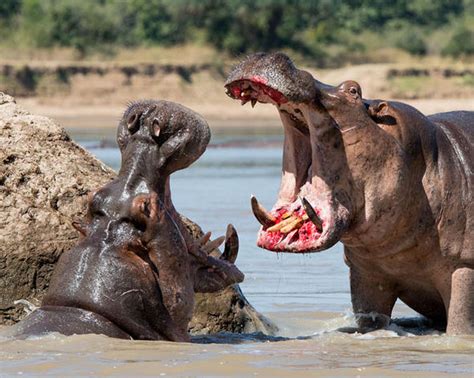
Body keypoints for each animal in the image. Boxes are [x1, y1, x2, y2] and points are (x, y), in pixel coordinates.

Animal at [225, 51, 474, 336]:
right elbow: (370, 320)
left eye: (354, 90)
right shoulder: (367, 273)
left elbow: (460, 328)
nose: (267, 54)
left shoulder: (464, 268)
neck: (434, 159)